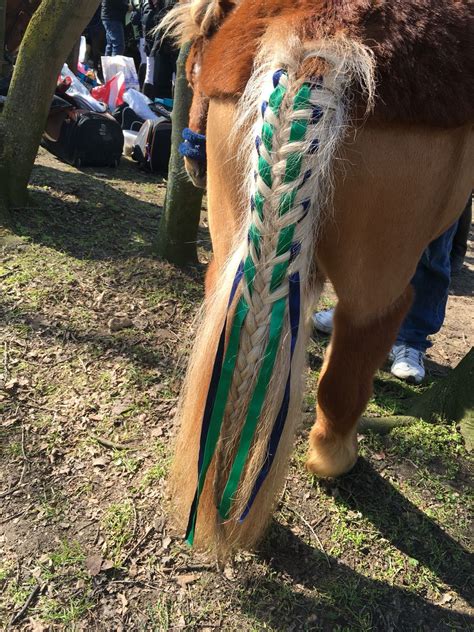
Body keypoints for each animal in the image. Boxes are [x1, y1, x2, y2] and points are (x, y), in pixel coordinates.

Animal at [162, 0, 470, 556]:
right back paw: (335, 456)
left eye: (192, 68)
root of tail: (315, 34)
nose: (191, 160)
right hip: (385, 253)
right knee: (365, 333)